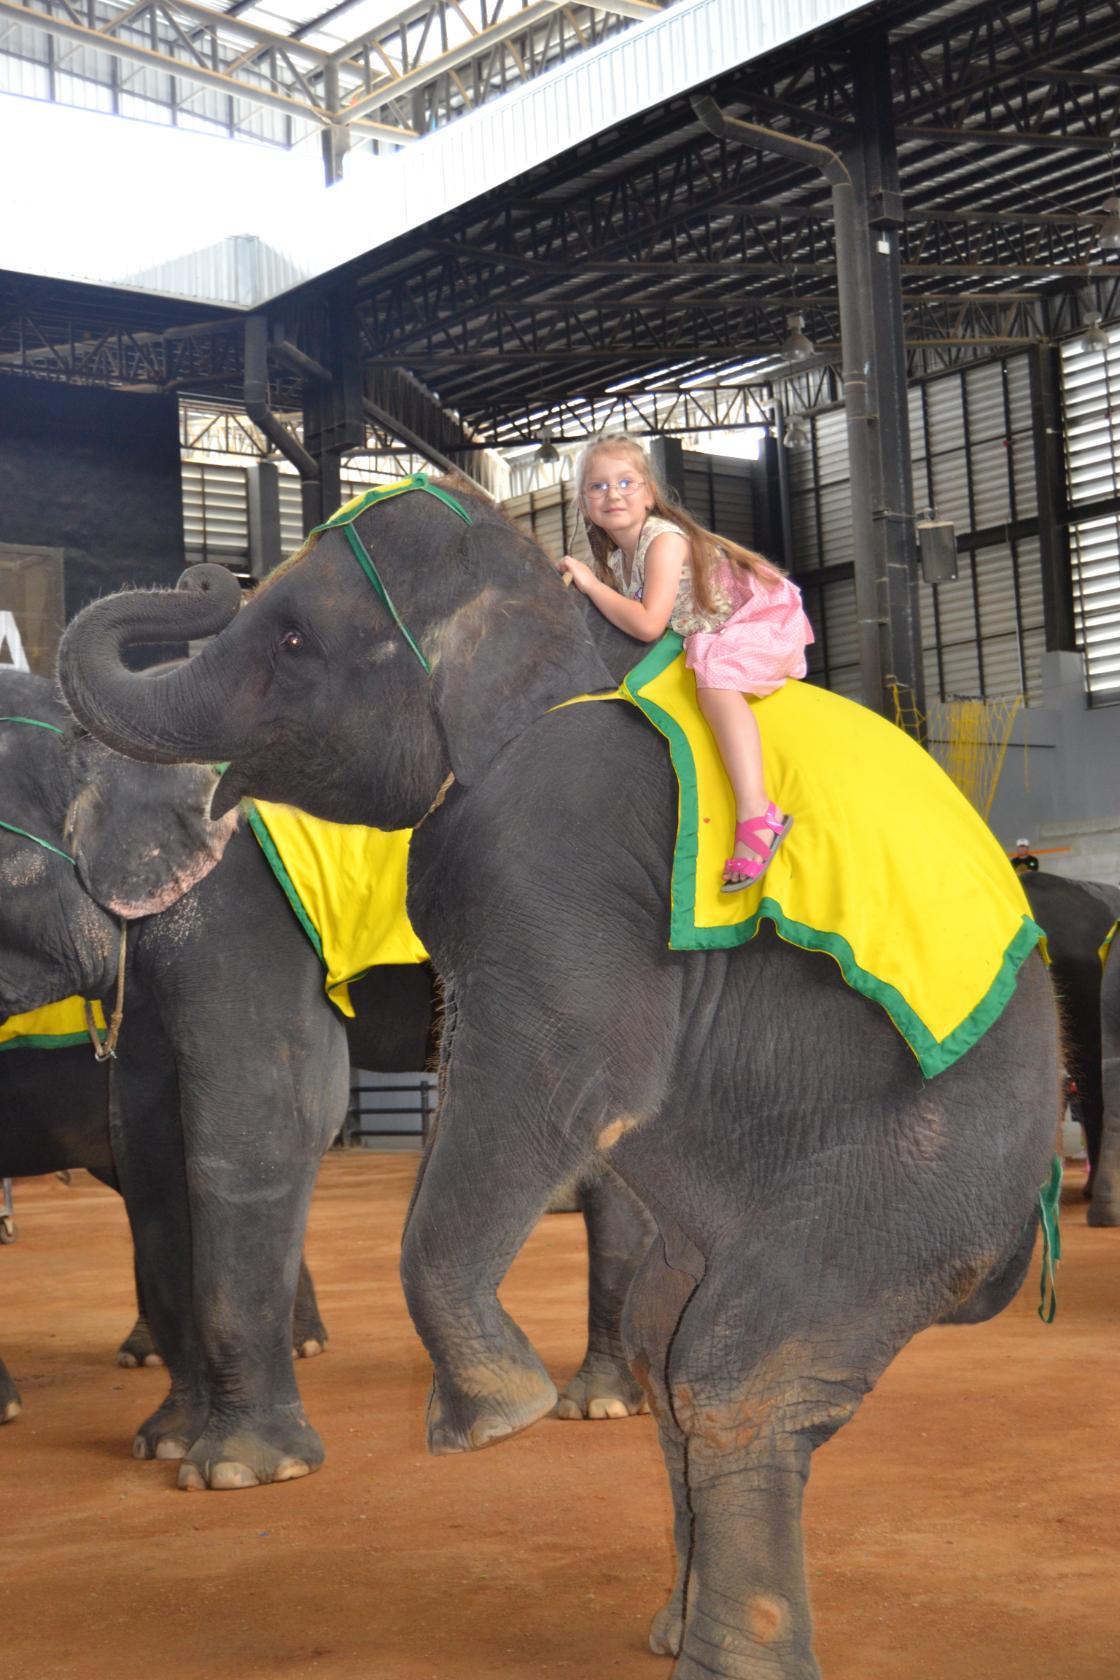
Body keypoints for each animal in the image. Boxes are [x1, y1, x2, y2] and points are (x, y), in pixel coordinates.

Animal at [59, 487, 1061, 1680]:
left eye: (293, 642)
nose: (205, 573)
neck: (539, 596)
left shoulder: (553, 846)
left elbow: (567, 1066)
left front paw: (494, 1422)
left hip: (923, 1180)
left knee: (737, 1375)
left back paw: (721, 1653)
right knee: (675, 1349)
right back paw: (672, 1629)